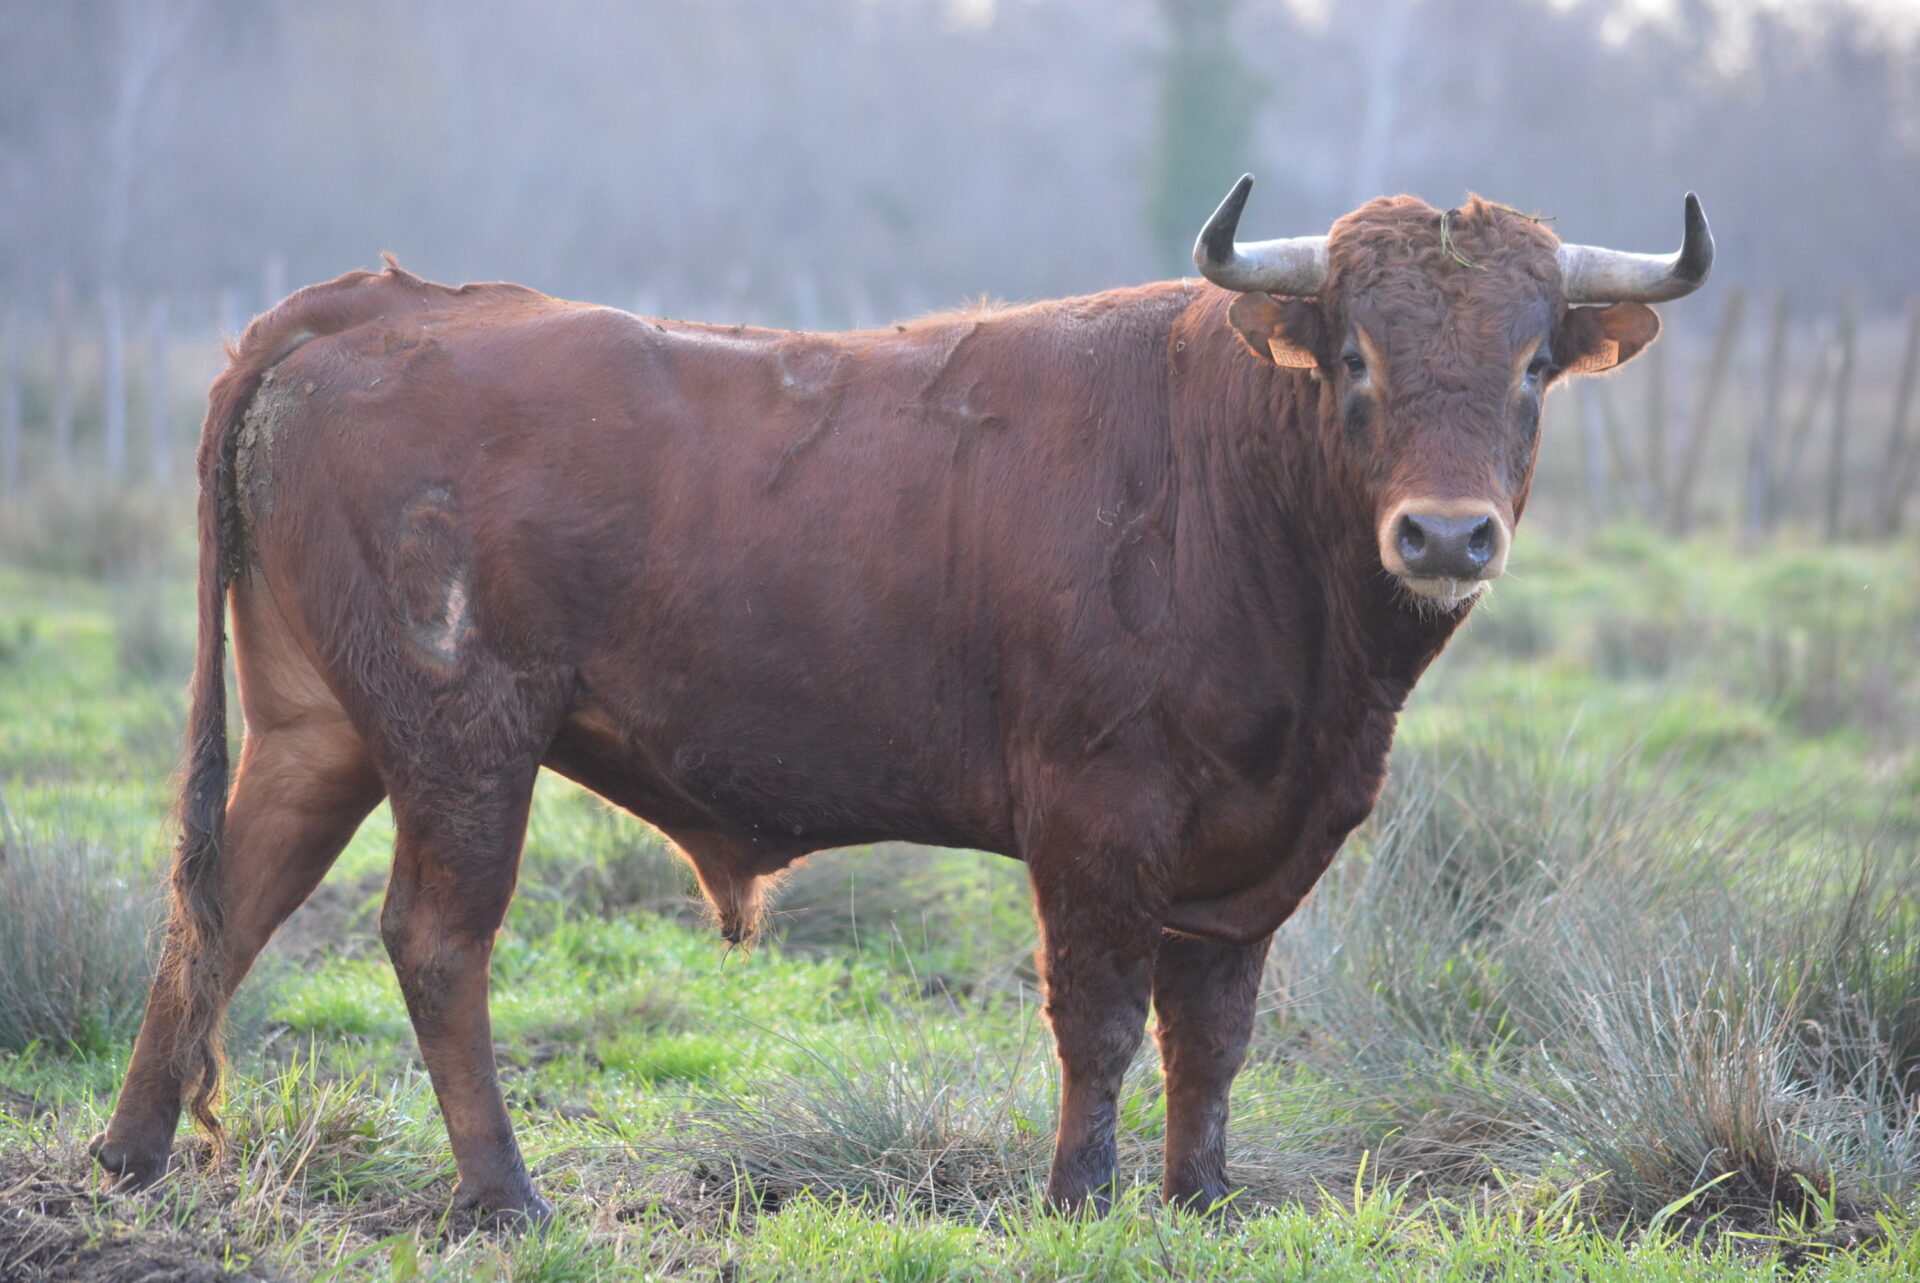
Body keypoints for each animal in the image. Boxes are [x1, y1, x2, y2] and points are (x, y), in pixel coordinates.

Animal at [91, 178, 1710, 1220]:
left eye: (1532, 363)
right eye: (1359, 354)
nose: (1444, 536)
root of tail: (378, 301)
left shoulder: (1251, 851)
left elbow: (1214, 1033)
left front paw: (1203, 1198)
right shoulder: (1100, 814)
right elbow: (1101, 1021)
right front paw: (1080, 1199)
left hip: (318, 730)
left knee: (220, 905)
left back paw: (127, 1156)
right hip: (460, 739)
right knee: (433, 939)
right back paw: (504, 1196)